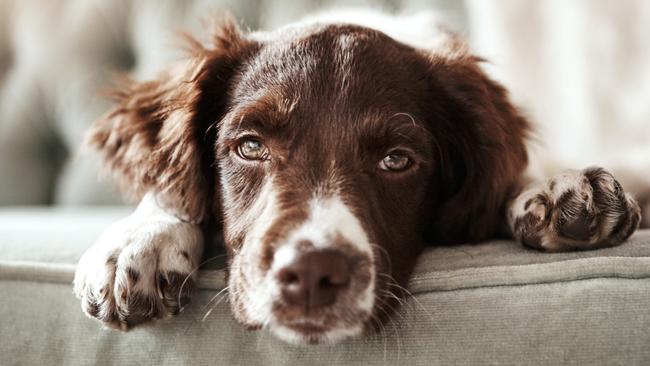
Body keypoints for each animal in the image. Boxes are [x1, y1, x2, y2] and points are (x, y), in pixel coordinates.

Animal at [72, 10, 644, 344]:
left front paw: (558, 191)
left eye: (397, 160)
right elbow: (169, 189)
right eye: (250, 146)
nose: (310, 274)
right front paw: (138, 242)